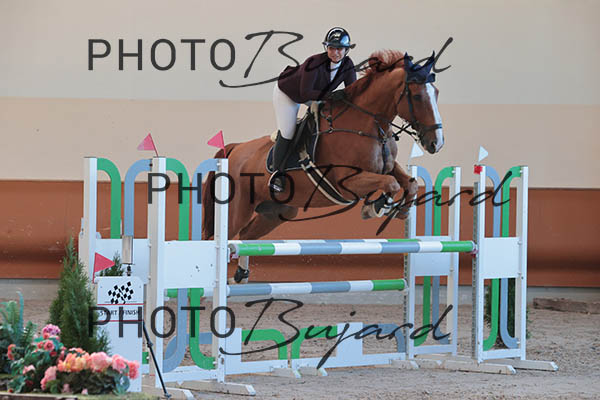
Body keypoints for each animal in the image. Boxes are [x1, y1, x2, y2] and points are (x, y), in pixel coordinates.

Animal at [202, 50, 444, 283]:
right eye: (417, 96)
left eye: (436, 93)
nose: (436, 143)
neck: (369, 125)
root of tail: (235, 150)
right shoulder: (348, 181)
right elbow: (391, 184)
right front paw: (374, 207)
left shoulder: (388, 166)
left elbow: (409, 183)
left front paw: (401, 210)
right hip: (238, 209)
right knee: (214, 238)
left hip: (277, 211)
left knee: (246, 236)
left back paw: (241, 275)